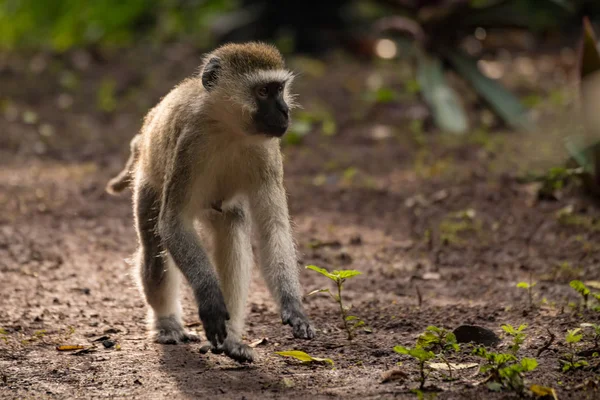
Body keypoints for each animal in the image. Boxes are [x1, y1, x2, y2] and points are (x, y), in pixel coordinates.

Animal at [106, 42, 316, 364]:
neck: (230, 129)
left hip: (218, 206)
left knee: (232, 225)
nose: (285, 110)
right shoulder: (190, 145)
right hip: (149, 181)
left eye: (280, 89)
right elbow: (173, 223)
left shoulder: (268, 153)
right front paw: (210, 298)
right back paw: (167, 323)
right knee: (154, 249)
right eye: (264, 91)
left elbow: (272, 229)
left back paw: (231, 341)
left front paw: (293, 306)